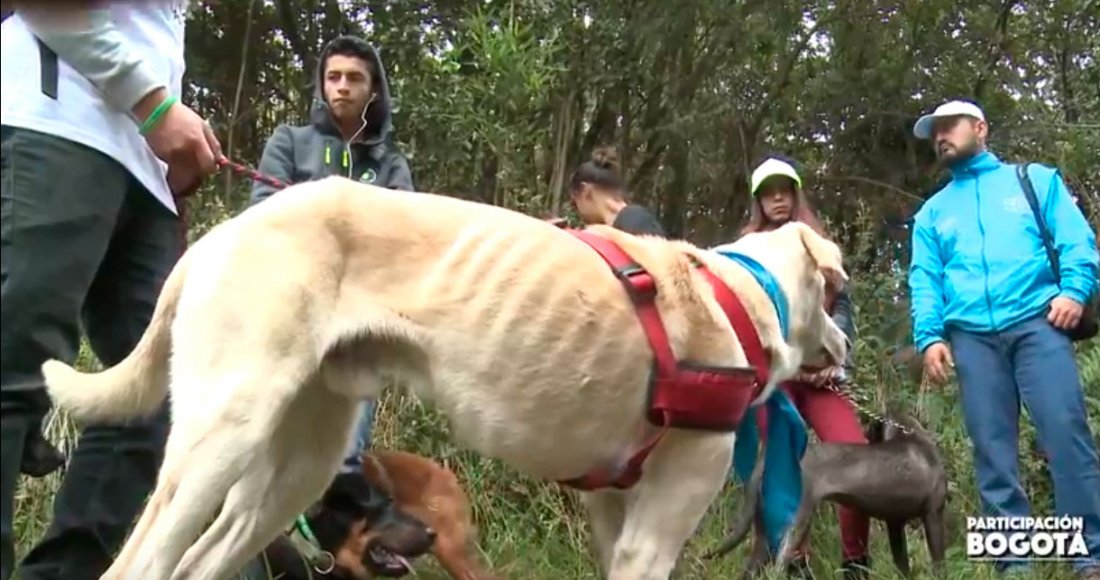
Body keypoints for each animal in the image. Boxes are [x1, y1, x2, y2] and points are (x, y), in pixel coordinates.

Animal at [42, 178, 849, 580]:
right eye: (837, 294)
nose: (845, 350)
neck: (741, 296)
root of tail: (219, 234)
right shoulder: (660, 524)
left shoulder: (614, 513)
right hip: (220, 440)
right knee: (139, 563)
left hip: (295, 472)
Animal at [708, 416, 950, 576]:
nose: (864, 430)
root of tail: (765, 461)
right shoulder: (933, 514)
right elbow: (938, 559)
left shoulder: (895, 523)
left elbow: (902, 564)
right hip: (797, 522)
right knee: (778, 567)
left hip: (763, 530)